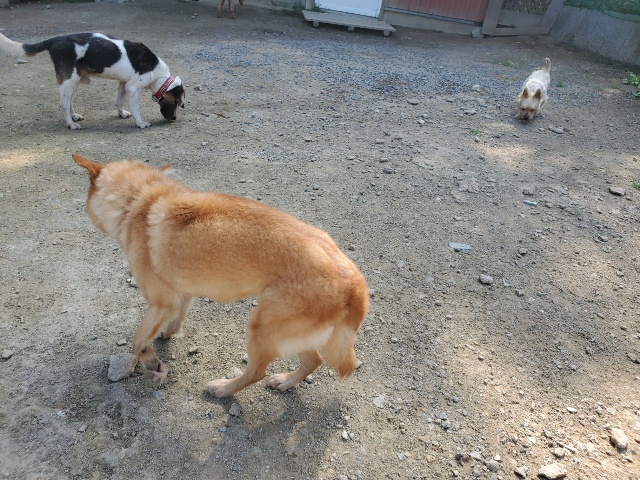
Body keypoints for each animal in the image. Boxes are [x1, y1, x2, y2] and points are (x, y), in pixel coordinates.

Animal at [0, 32, 184, 129]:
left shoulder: (123, 84)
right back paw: (71, 124)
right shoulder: (133, 88)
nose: (174, 118)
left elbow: (119, 101)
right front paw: (141, 123)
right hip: (70, 79)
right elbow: (137, 109)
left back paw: (74, 117)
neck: (158, 73)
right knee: (63, 104)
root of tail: (55, 40)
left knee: (68, 101)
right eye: (177, 103)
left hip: (72, 81)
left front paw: (122, 114)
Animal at [72, 154, 369, 397]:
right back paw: (285, 382)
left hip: (263, 328)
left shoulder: (160, 302)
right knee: (313, 360)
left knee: (256, 372)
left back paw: (224, 389)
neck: (137, 199)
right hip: (287, 330)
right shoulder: (182, 292)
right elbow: (177, 317)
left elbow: (137, 341)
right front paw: (167, 333)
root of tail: (355, 282)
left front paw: (153, 364)